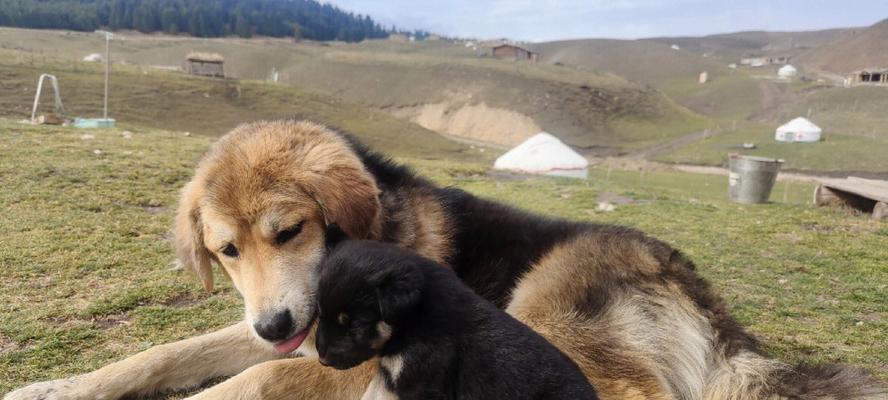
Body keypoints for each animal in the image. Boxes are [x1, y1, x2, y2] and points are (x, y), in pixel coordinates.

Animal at [312, 227, 596, 398]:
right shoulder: (391, 377)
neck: (412, 321)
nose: (322, 360)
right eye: (320, 313)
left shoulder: (421, 381)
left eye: (355, 324)